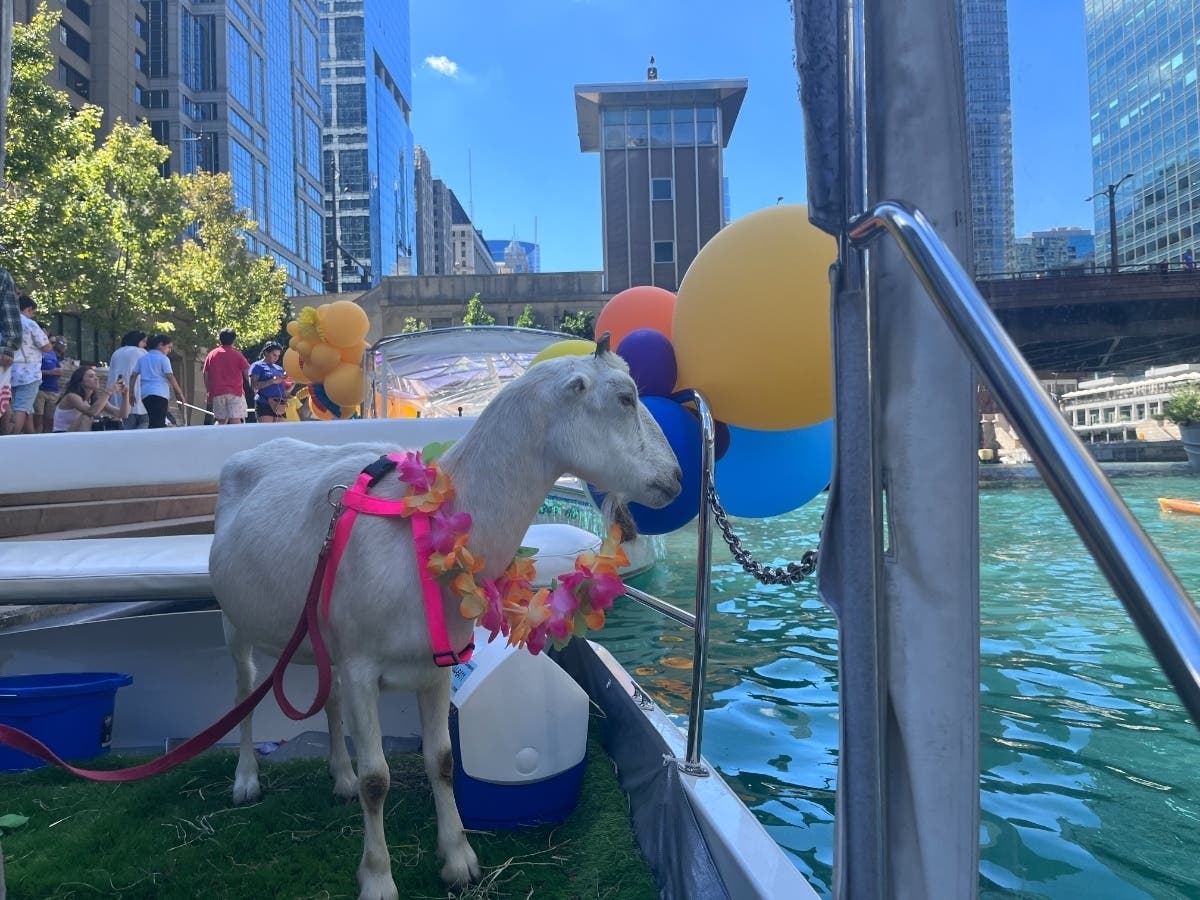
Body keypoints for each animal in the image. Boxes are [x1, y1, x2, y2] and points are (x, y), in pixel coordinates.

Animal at [210, 348, 681, 900]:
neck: (428, 527)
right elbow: (378, 779)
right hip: (233, 621)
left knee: (328, 699)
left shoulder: (435, 666)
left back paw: (340, 777)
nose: (676, 478)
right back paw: (246, 780)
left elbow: (443, 761)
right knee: (243, 693)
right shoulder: (362, 667)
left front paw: (458, 859)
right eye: (625, 398)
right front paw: (378, 879)